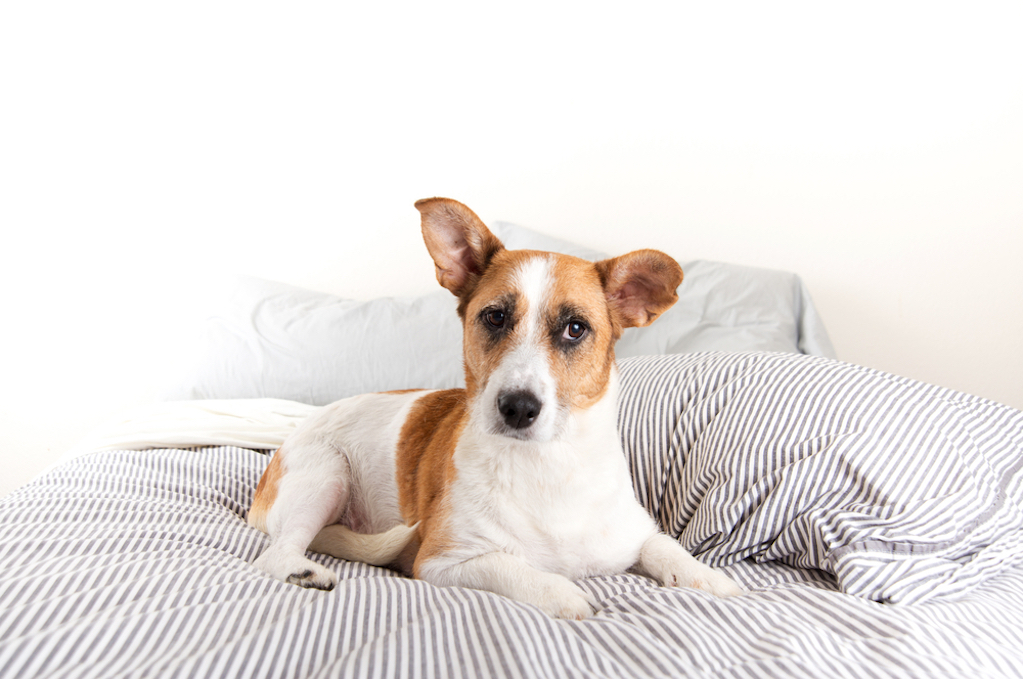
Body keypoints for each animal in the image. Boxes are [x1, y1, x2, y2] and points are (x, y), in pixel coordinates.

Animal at [247, 197, 744, 621]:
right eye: (495, 317)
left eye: (575, 328)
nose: (518, 408)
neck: (546, 465)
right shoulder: (443, 560)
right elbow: (513, 567)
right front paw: (563, 592)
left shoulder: (631, 536)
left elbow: (663, 547)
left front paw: (706, 577)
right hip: (324, 473)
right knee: (274, 554)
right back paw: (301, 569)